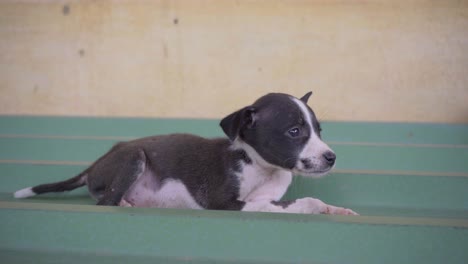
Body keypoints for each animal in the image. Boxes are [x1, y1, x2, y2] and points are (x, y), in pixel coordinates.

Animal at [14, 92, 358, 216]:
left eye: (319, 130)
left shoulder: (262, 196)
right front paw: (316, 207)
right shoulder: (225, 203)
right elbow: (299, 203)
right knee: (106, 201)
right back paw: (126, 201)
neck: (260, 167)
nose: (331, 157)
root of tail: (94, 166)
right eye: (295, 132)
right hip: (134, 157)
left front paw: (338, 210)